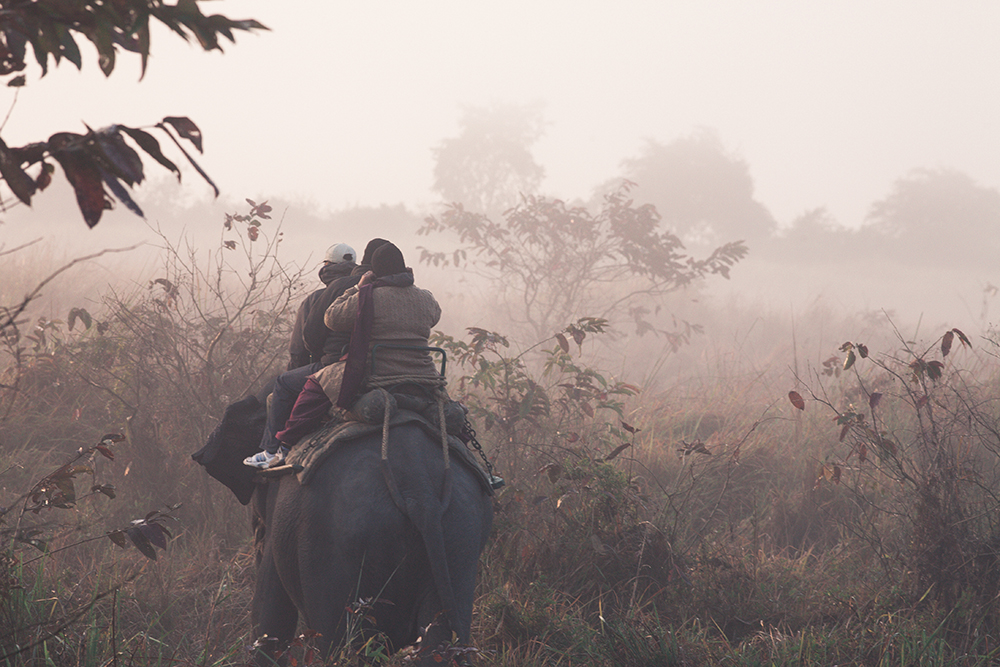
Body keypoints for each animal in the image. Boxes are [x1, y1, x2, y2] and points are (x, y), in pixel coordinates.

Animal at [189, 392, 494, 664]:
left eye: (257, 521)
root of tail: (419, 489)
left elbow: (270, 612)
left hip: (332, 544)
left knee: (338, 643)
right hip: (460, 534)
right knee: (438, 641)